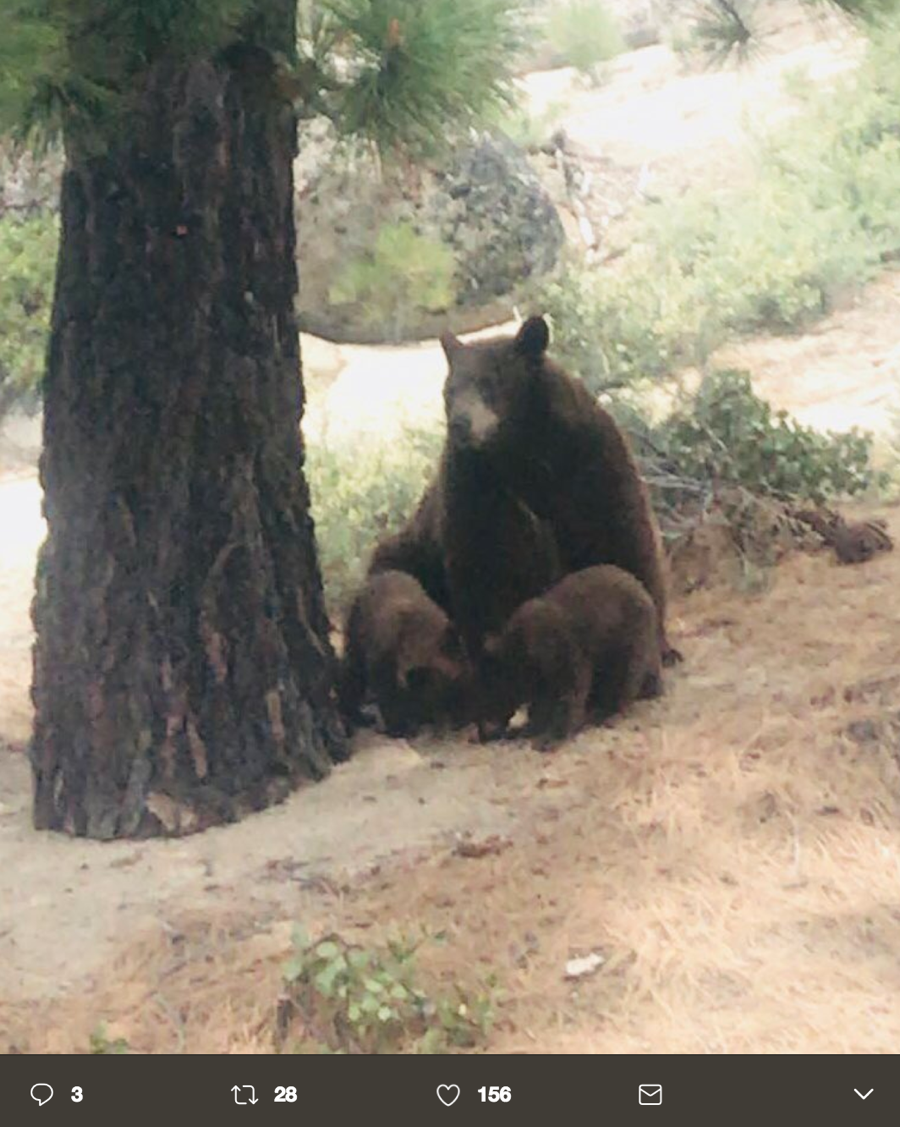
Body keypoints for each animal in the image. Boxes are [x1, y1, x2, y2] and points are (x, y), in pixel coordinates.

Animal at [475, 568, 666, 752]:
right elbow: (543, 700)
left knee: (625, 673)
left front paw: (550, 738)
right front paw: (527, 728)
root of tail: (642, 589)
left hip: (627, 633)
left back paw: (606, 712)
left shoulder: (566, 650)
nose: (484, 731)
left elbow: (570, 691)